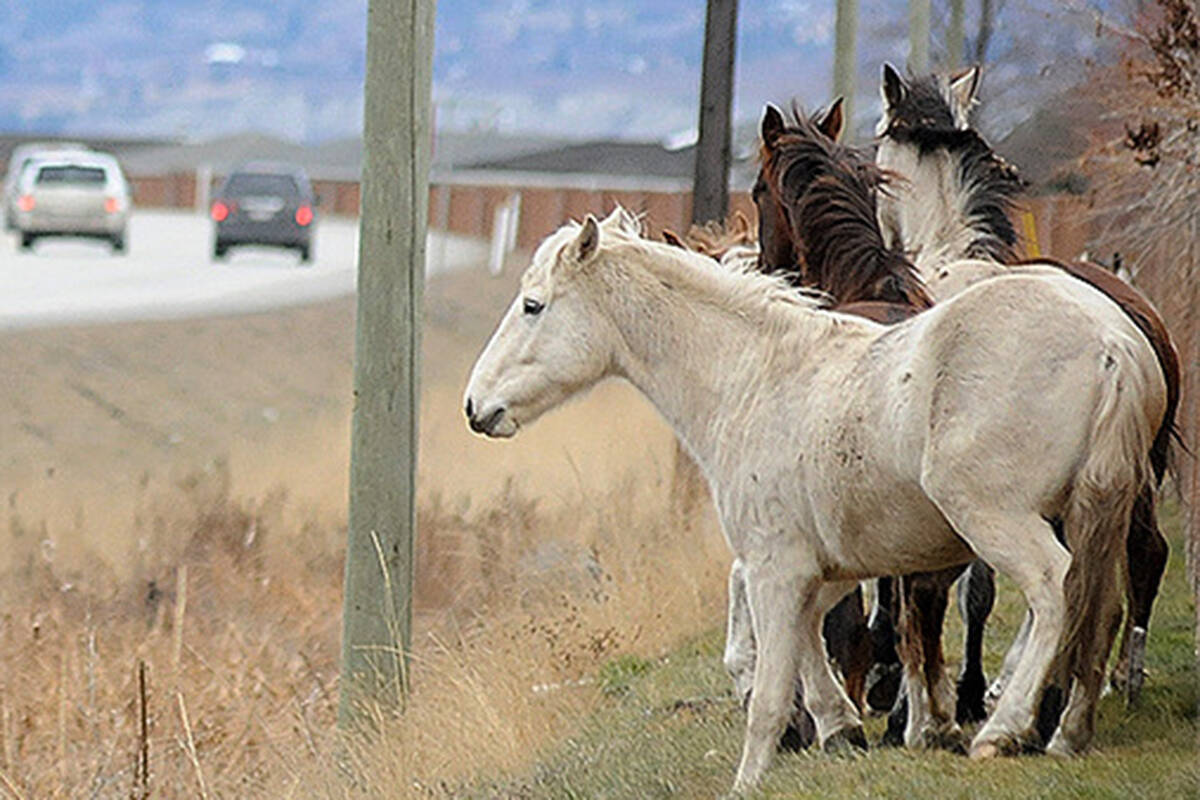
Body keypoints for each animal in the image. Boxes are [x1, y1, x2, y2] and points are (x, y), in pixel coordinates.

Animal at [463, 208, 1166, 796]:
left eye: (533, 306)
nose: (476, 406)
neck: (754, 376)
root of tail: (1114, 340)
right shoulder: (821, 571)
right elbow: (814, 642)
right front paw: (840, 728)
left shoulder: (775, 568)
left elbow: (772, 690)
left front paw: (752, 778)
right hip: (1098, 514)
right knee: (1100, 606)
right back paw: (1068, 732)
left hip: (1004, 522)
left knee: (1055, 588)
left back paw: (1003, 728)